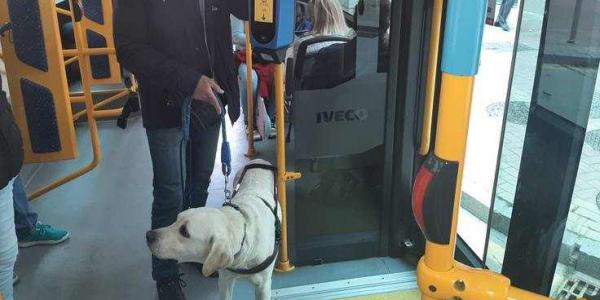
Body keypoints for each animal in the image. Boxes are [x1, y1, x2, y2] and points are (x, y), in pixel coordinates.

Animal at [148, 158, 284, 298]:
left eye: (184, 231)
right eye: (176, 219)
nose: (148, 235)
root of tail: (260, 160)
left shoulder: (263, 285)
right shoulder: (225, 279)